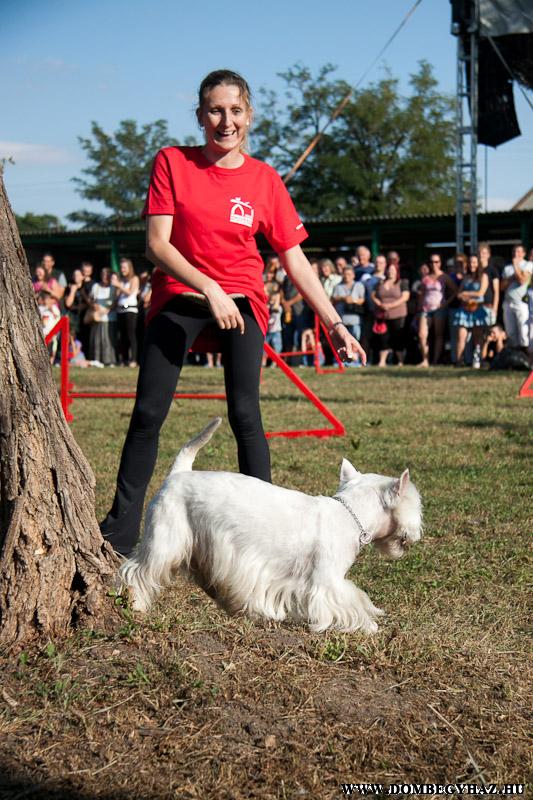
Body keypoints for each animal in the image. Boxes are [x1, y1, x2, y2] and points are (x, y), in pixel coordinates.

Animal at [119, 418, 422, 633]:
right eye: (416, 503)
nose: (417, 533)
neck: (350, 513)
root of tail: (178, 474)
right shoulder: (327, 581)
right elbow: (352, 602)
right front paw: (370, 625)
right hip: (164, 540)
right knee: (137, 572)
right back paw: (136, 605)